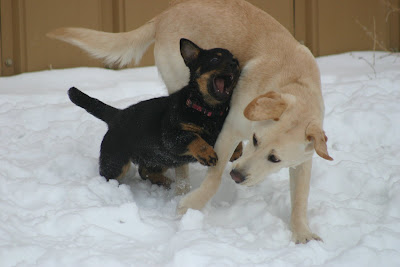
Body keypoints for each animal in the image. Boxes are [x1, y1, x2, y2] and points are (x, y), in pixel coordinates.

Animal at [68, 38, 241, 191]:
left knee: (144, 171)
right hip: (116, 161)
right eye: (214, 59)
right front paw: (208, 155)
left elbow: (235, 141)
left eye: (234, 59)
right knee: (111, 175)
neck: (208, 111)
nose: (235, 63)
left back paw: (164, 182)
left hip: (160, 159)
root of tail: (117, 115)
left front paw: (236, 152)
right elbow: (194, 138)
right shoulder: (171, 136)